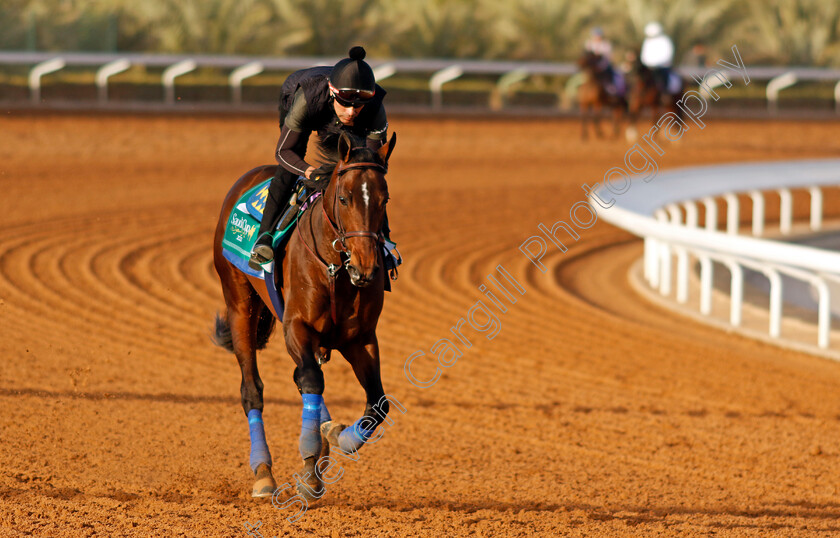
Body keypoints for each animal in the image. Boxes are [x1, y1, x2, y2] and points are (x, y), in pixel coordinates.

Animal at [210, 132, 394, 500]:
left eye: (384, 200)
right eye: (344, 198)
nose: (366, 268)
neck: (336, 269)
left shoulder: (360, 338)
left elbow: (377, 403)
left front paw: (341, 438)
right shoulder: (297, 325)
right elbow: (310, 380)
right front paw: (310, 463)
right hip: (239, 304)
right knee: (252, 389)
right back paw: (263, 473)